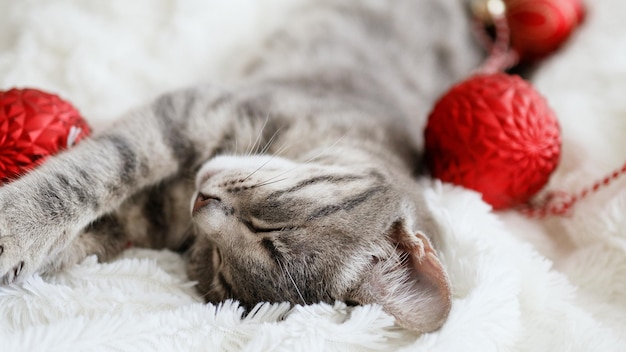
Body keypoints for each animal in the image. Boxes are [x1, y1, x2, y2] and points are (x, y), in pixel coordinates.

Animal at [0, 0, 478, 332]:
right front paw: (14, 228)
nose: (201, 202)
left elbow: (97, 226)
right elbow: (85, 176)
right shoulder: (187, 113)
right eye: (270, 233)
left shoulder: (156, 212)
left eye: (219, 267)